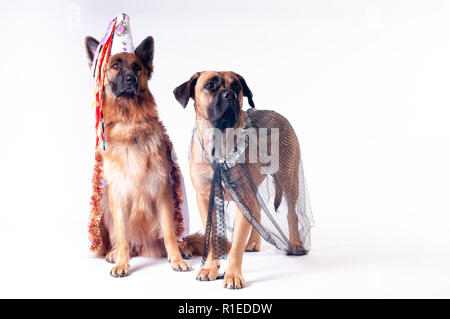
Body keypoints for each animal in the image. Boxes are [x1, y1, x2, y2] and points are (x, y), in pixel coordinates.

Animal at [85, 36, 201, 278]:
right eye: (115, 65)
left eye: (137, 67)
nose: (131, 79)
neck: (129, 123)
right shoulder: (118, 194)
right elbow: (122, 235)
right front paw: (122, 262)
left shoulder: (162, 190)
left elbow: (169, 232)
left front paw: (176, 260)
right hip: (106, 209)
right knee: (125, 241)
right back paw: (115, 253)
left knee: (174, 235)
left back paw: (183, 249)